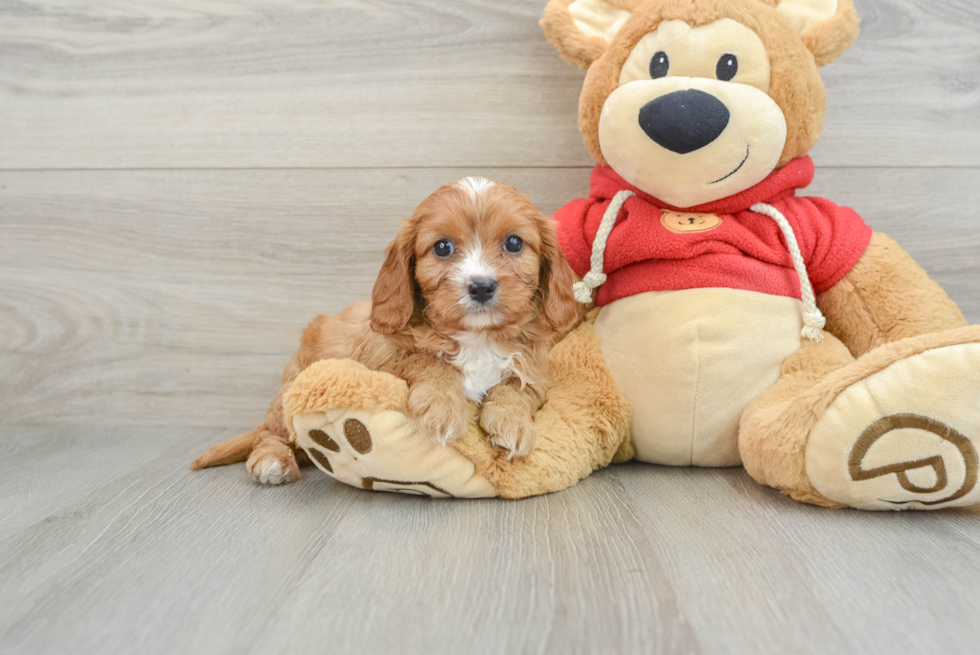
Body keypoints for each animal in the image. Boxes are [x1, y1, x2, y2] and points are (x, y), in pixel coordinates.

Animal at [191, 177, 580, 484]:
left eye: (514, 243)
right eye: (442, 247)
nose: (481, 286)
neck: (477, 338)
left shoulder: (533, 369)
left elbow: (517, 386)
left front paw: (513, 424)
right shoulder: (383, 360)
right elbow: (428, 361)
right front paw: (444, 407)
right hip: (291, 387)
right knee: (270, 435)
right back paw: (273, 461)